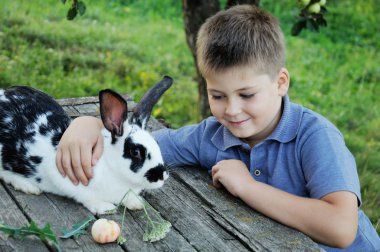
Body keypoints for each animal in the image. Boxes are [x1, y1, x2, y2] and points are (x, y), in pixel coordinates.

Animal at [0, 76, 172, 214]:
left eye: (157, 143)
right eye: (136, 152)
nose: (162, 176)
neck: (109, 165)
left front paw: (136, 203)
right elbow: (85, 196)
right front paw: (105, 208)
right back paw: (27, 186)